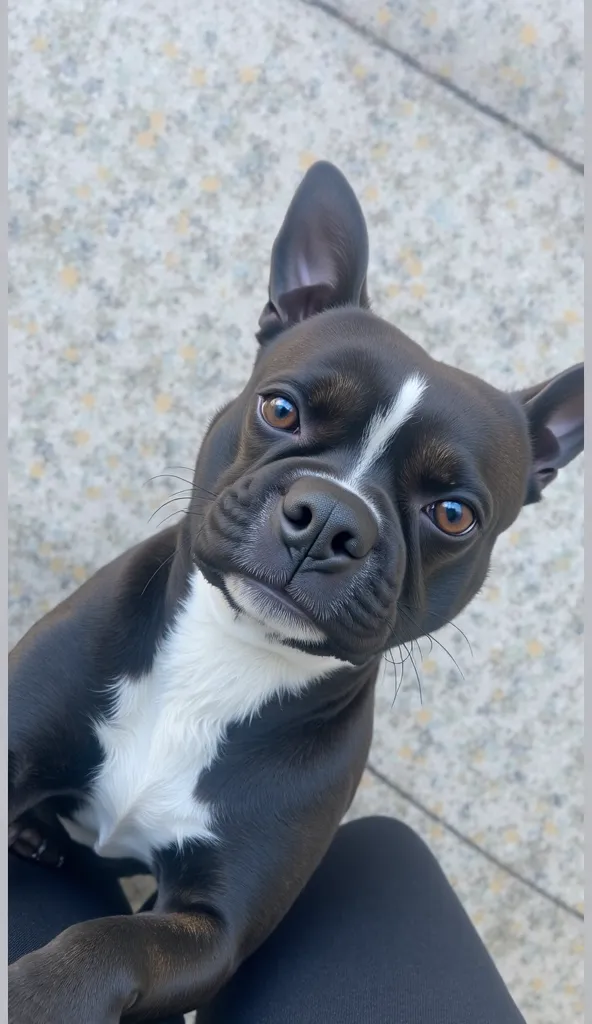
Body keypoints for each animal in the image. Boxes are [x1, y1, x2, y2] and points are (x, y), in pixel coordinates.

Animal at [8, 161, 581, 1024]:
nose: (332, 518)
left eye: (453, 514)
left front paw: (39, 996)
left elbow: (110, 943)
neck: (228, 657)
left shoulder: (210, 929)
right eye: (280, 408)